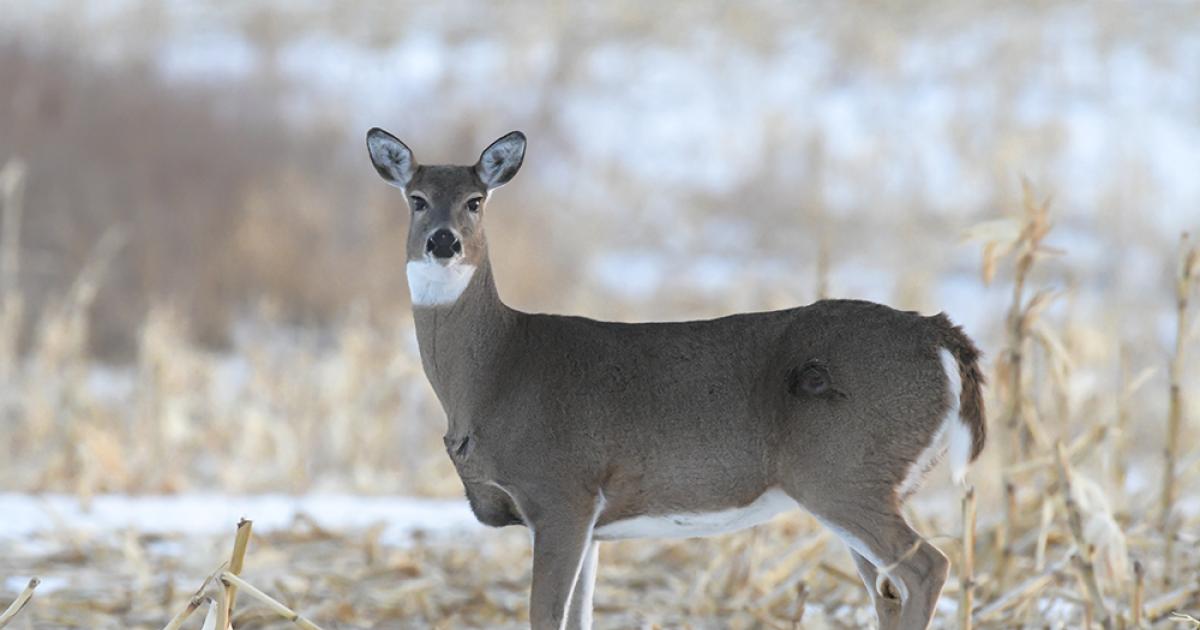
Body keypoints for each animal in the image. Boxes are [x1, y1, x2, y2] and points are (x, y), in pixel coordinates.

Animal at [362, 129, 984, 628]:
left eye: (475, 201)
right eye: (417, 199)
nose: (444, 240)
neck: (494, 372)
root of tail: (942, 336)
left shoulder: (562, 491)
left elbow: (546, 616)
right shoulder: (590, 522)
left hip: (844, 471)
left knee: (928, 567)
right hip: (864, 480)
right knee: (888, 590)